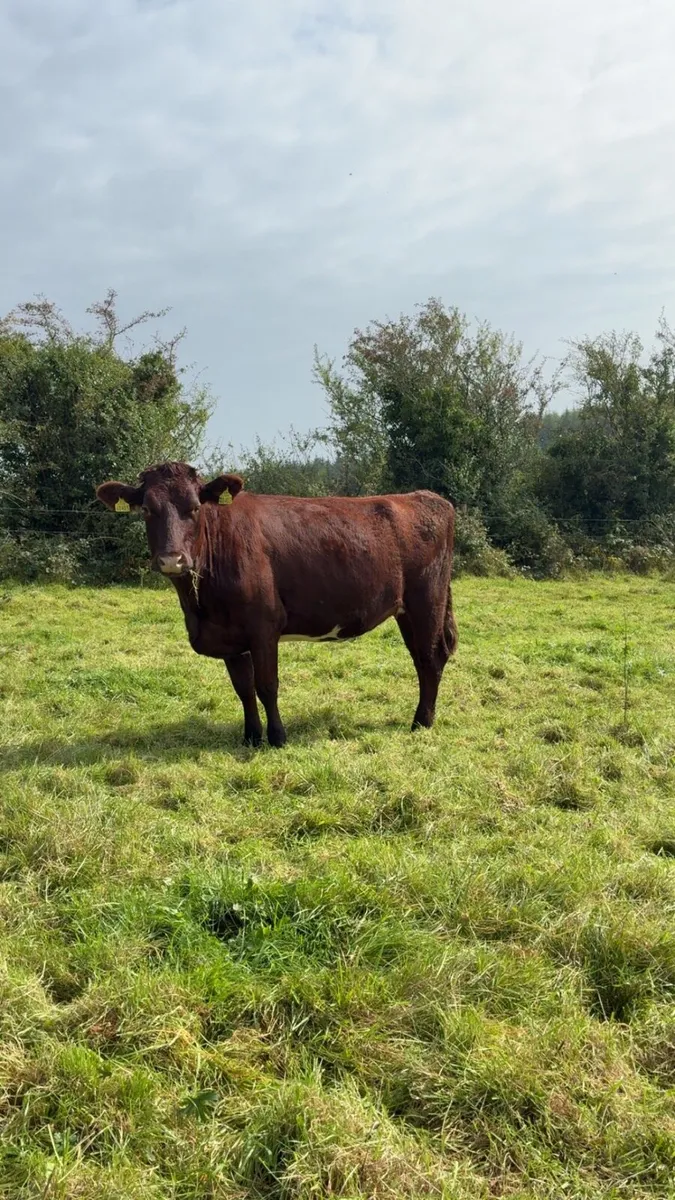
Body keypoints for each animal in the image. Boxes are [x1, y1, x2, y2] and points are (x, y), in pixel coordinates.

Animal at [96, 462, 458, 747]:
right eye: (146, 509)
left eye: (195, 507)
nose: (172, 559)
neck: (201, 608)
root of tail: (425, 497)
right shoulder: (231, 638)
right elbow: (243, 688)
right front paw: (251, 737)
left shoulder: (263, 628)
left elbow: (267, 685)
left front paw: (278, 737)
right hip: (405, 611)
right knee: (421, 659)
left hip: (427, 601)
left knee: (431, 657)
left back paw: (421, 722)